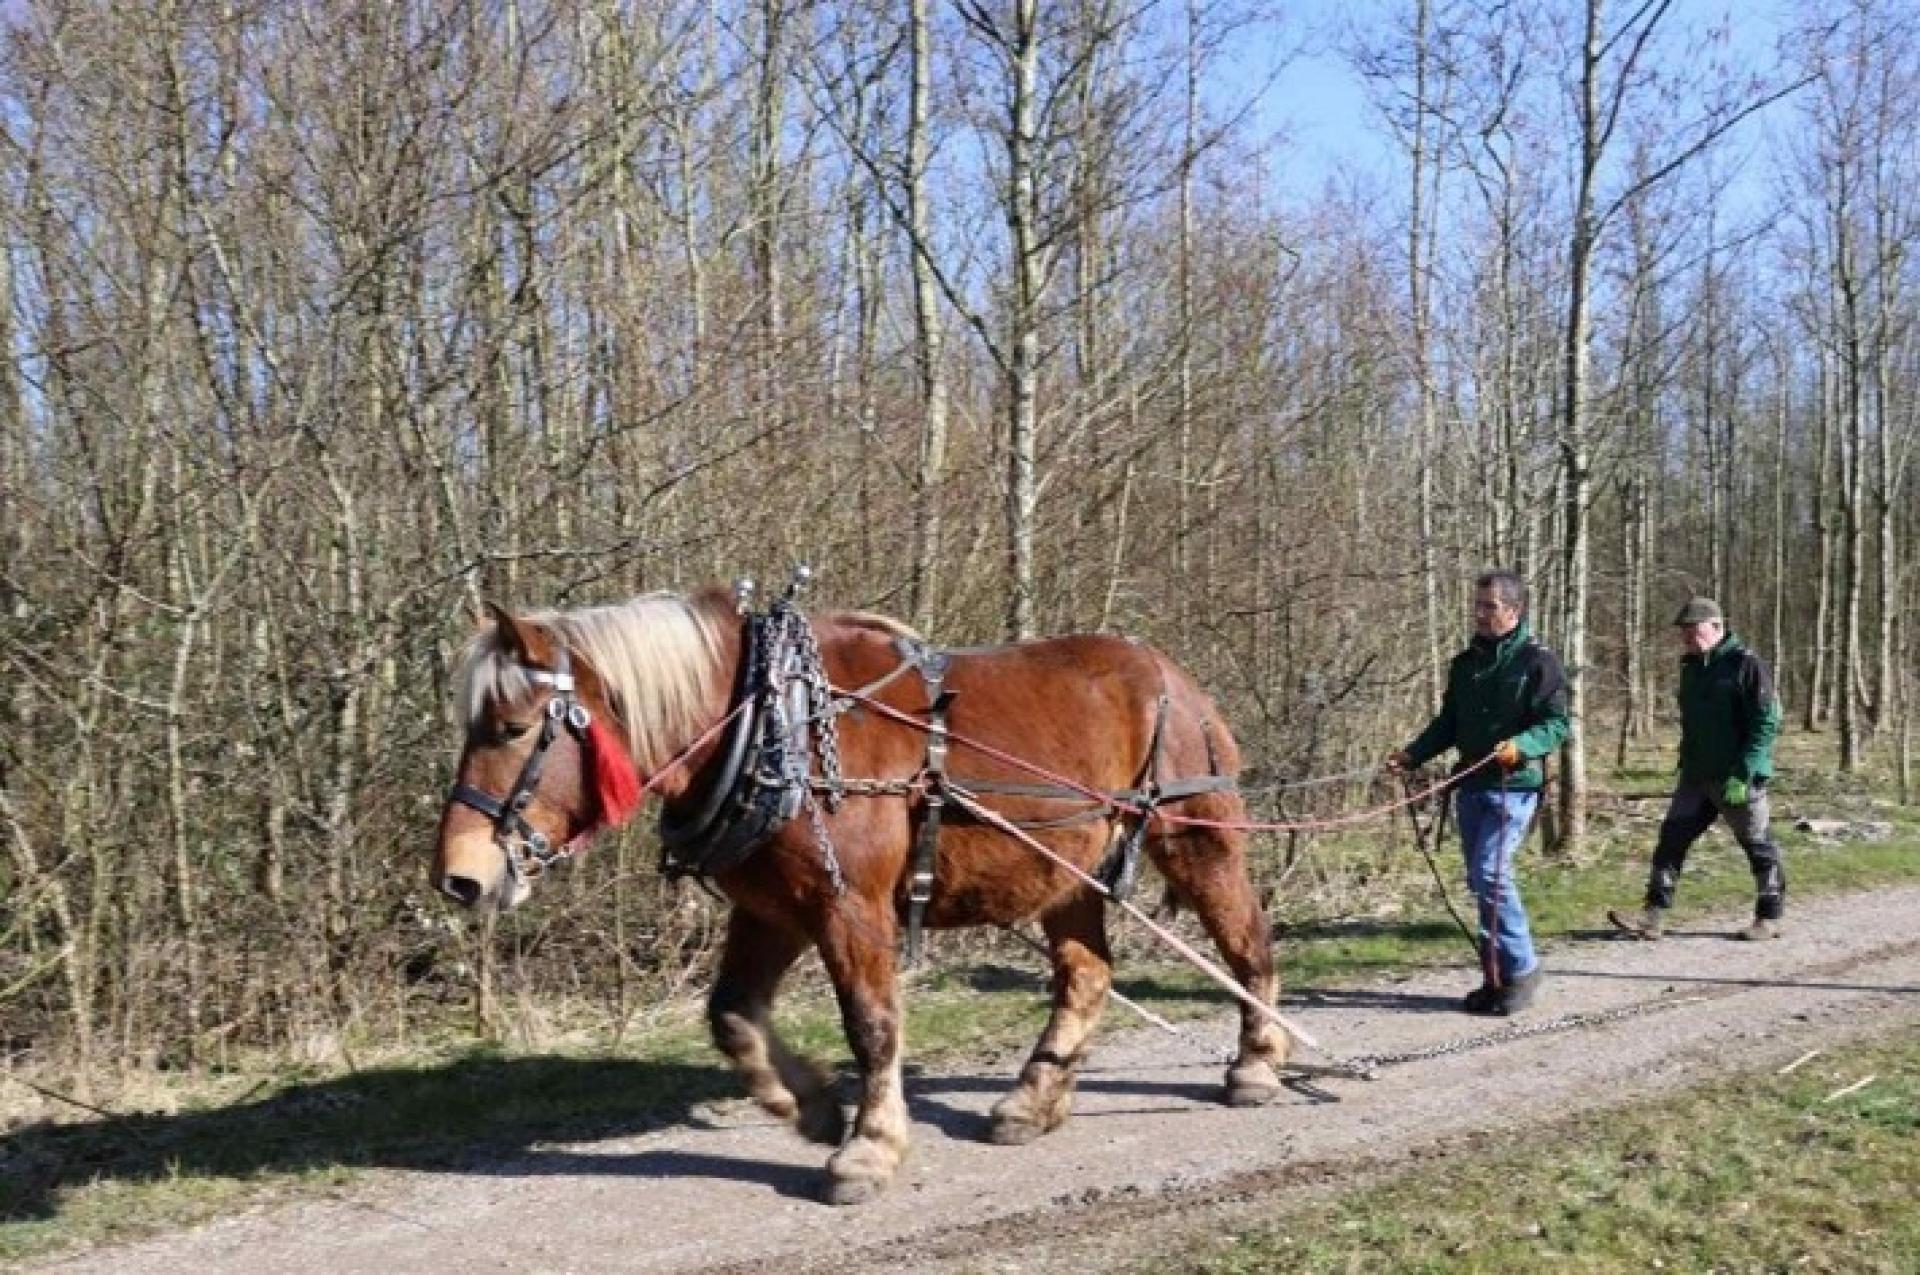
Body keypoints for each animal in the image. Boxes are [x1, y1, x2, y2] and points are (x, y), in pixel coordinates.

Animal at [435, 587, 1290, 1205]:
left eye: (511, 728)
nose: (459, 874)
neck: (771, 727)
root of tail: (1171, 673)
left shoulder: (850, 905)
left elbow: (874, 1026)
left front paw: (869, 1147)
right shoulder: (773, 906)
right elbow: (732, 1015)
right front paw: (808, 1104)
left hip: (1198, 837)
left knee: (1248, 942)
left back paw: (1257, 1063)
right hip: (1065, 871)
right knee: (1087, 976)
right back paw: (1033, 1100)